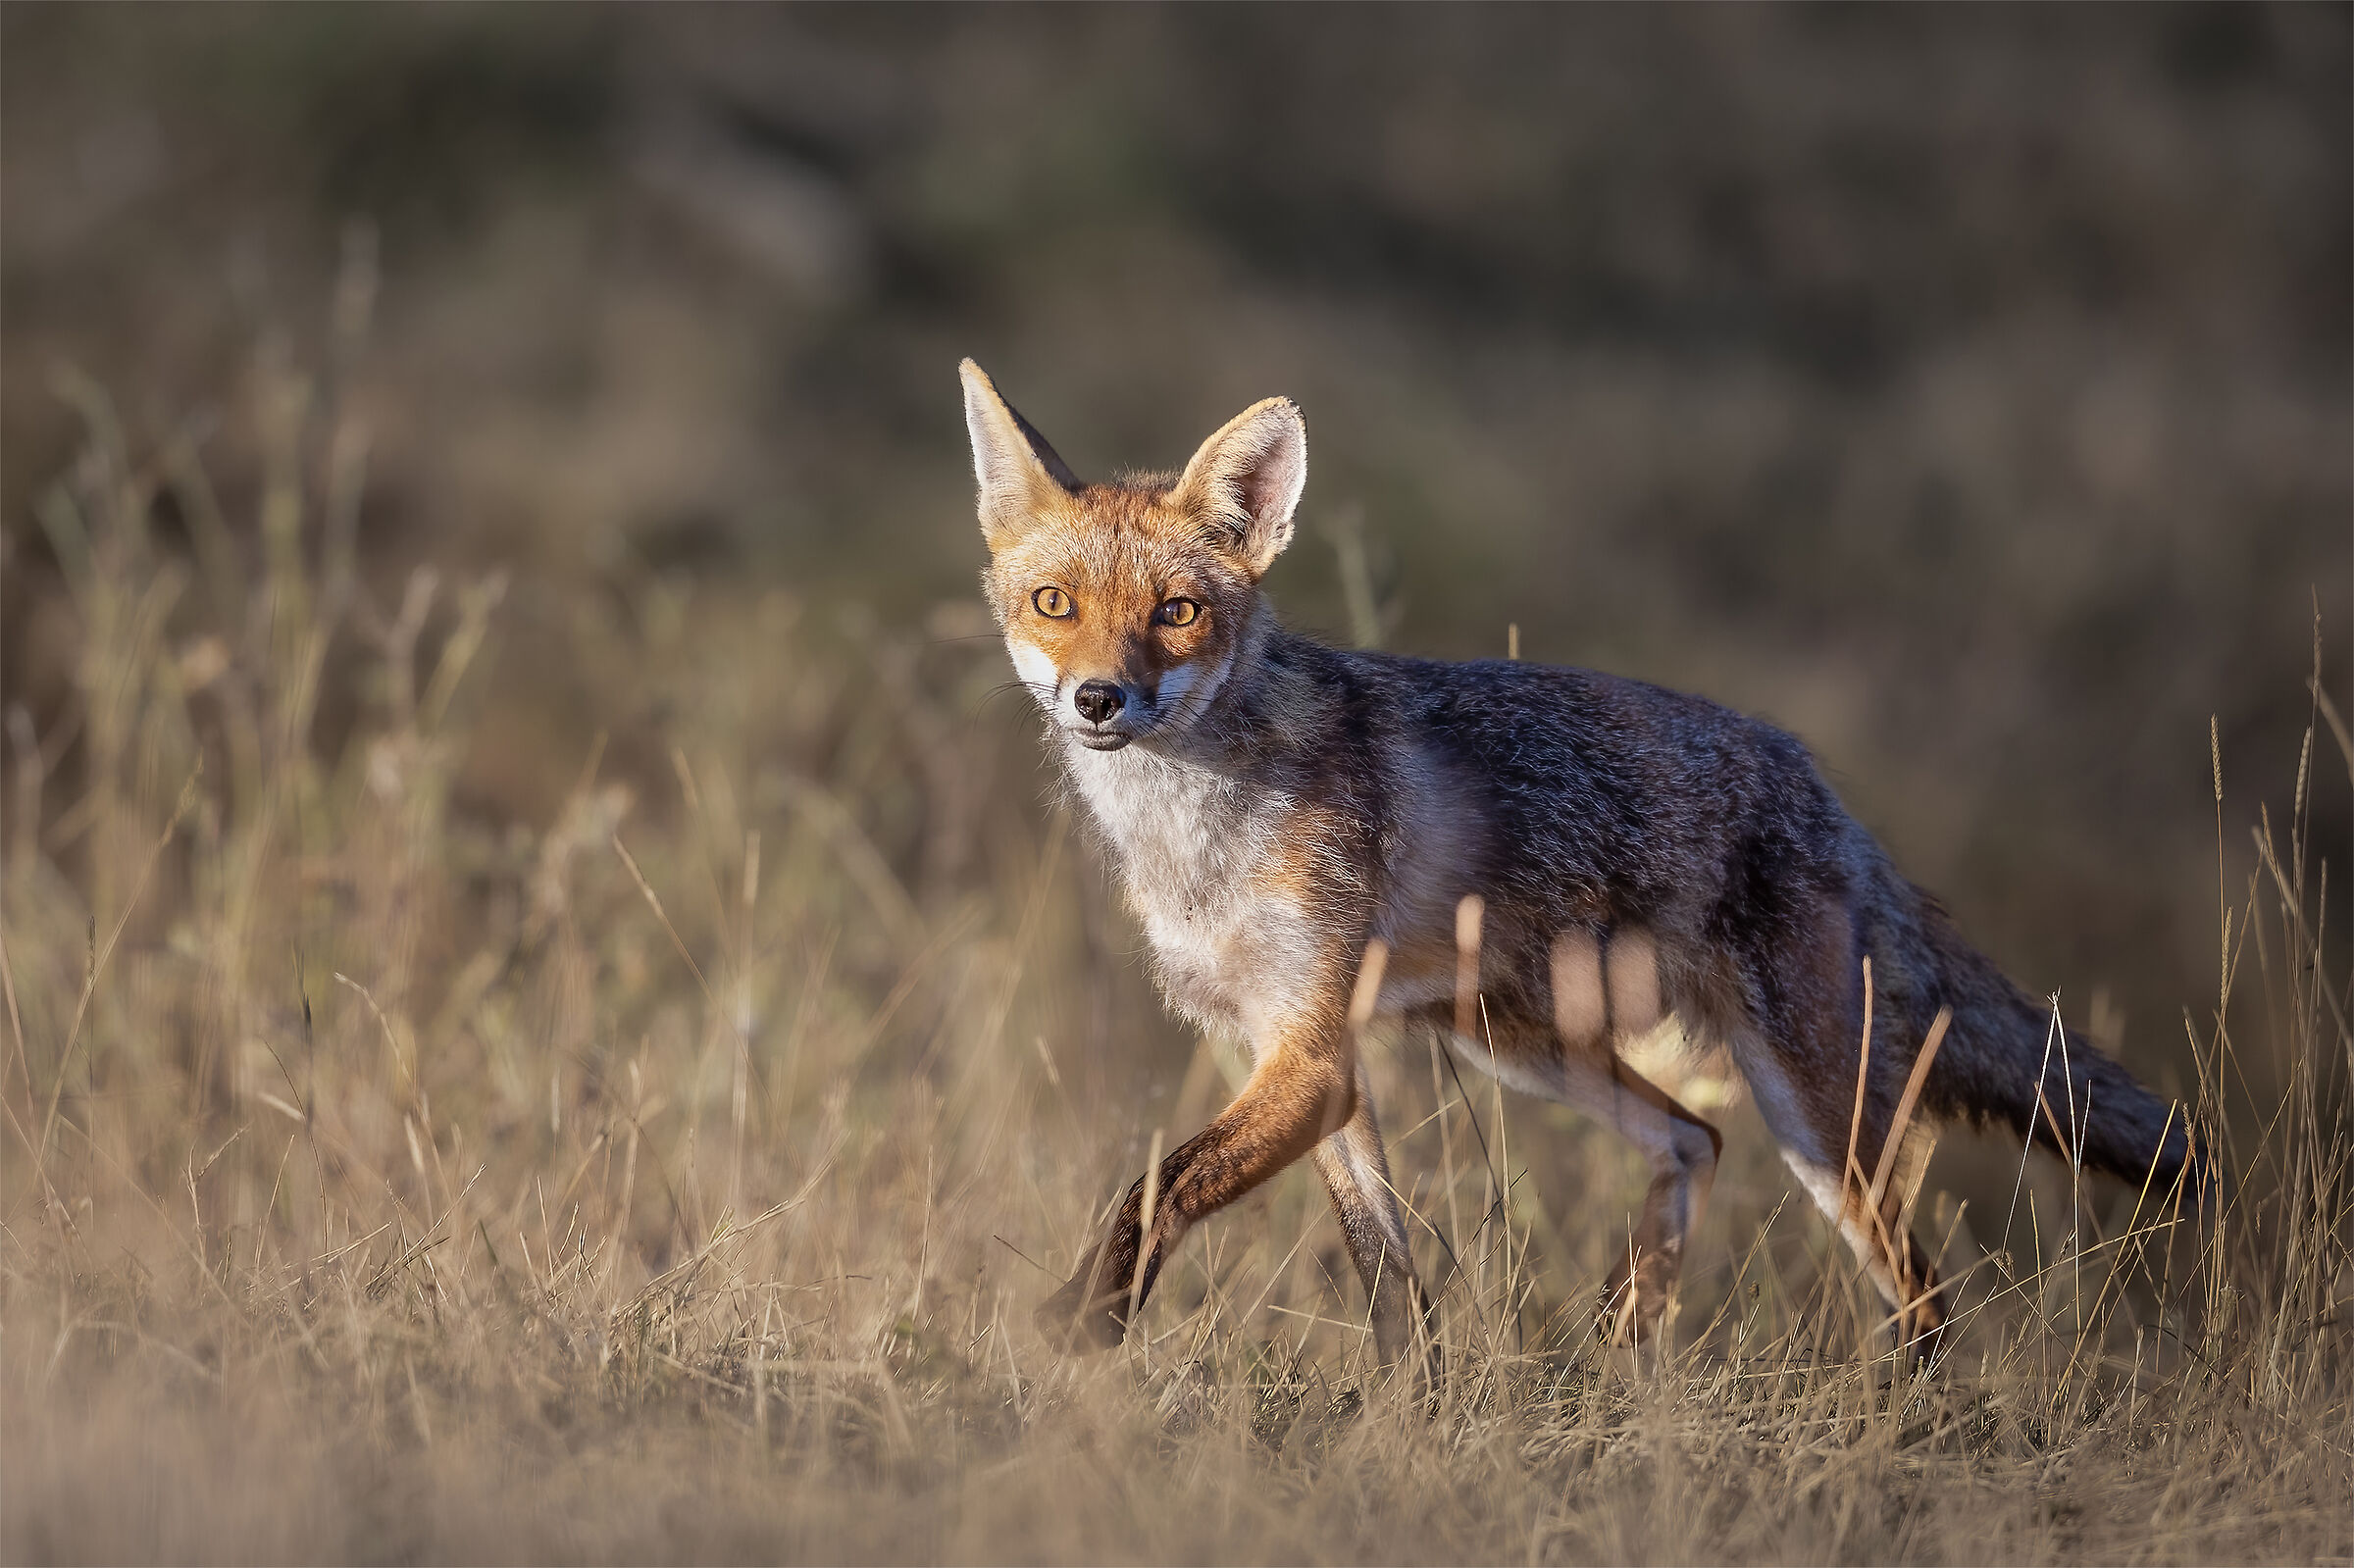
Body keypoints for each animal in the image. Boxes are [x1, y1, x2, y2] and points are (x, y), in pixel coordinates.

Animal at [959, 358, 2204, 1370]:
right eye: (1054, 605)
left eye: (1175, 612)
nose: (1099, 699)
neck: (1198, 833)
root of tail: (1819, 784)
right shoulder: (1297, 1055)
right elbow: (1386, 1276)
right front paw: (1410, 1414)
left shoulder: (1309, 1057)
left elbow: (1154, 1187)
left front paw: (1081, 1324)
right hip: (1524, 1041)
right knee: (1696, 1139)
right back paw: (1619, 1350)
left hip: (1814, 1113)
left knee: (1923, 1294)